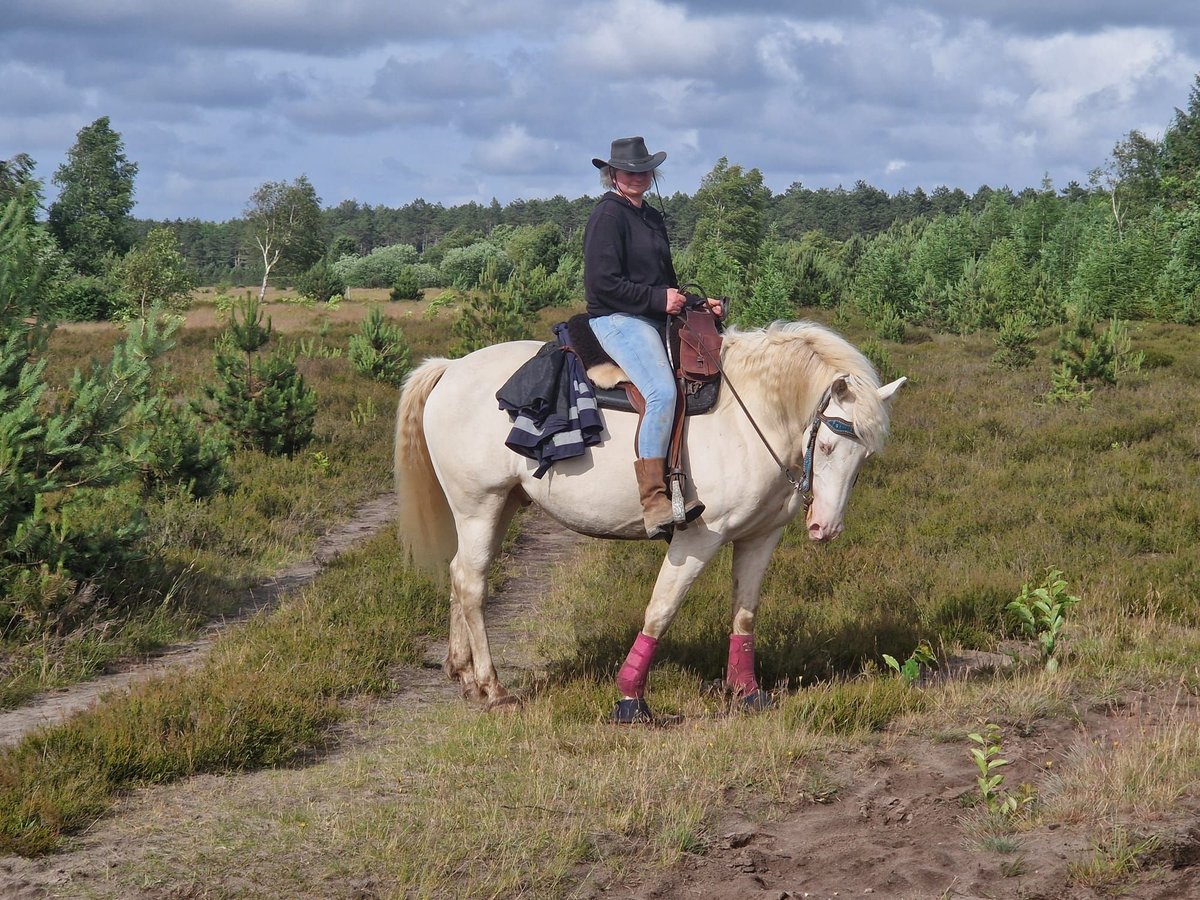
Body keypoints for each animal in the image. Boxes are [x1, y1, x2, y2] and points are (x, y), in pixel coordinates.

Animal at [396, 321, 907, 724]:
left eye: (864, 456)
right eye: (828, 445)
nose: (826, 528)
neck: (753, 417)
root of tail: (451, 368)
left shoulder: (761, 537)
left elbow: (744, 613)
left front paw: (747, 693)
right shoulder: (698, 538)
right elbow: (661, 610)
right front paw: (630, 698)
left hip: (500, 505)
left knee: (460, 573)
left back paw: (463, 673)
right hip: (478, 505)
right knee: (472, 581)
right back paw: (492, 688)